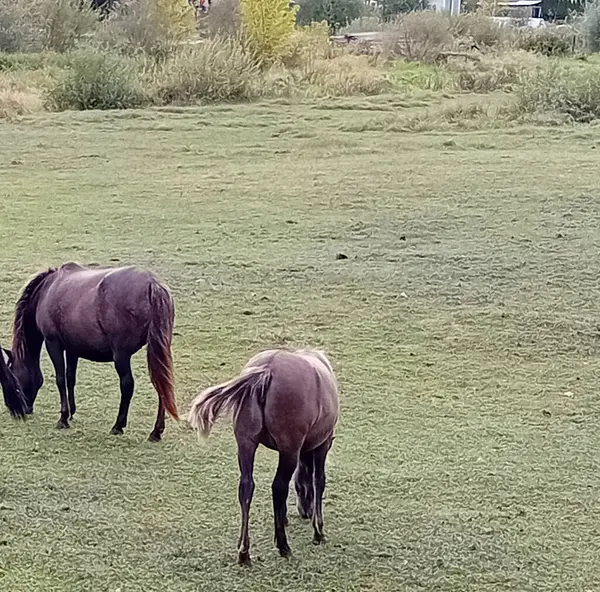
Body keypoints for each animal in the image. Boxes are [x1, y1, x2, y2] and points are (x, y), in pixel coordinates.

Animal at [0, 262, 178, 440]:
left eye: (13, 379)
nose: (20, 411)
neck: (47, 290)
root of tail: (152, 284)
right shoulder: (72, 348)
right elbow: (70, 378)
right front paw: (71, 412)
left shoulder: (53, 344)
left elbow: (60, 379)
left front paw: (63, 418)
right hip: (157, 351)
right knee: (162, 385)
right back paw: (156, 432)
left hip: (121, 356)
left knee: (127, 385)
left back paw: (118, 426)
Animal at [188, 346, 338, 564]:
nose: (305, 512)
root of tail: (266, 370)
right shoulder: (322, 444)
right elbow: (318, 480)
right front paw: (318, 531)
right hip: (289, 449)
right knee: (278, 487)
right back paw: (283, 546)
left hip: (246, 444)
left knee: (246, 487)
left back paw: (244, 551)